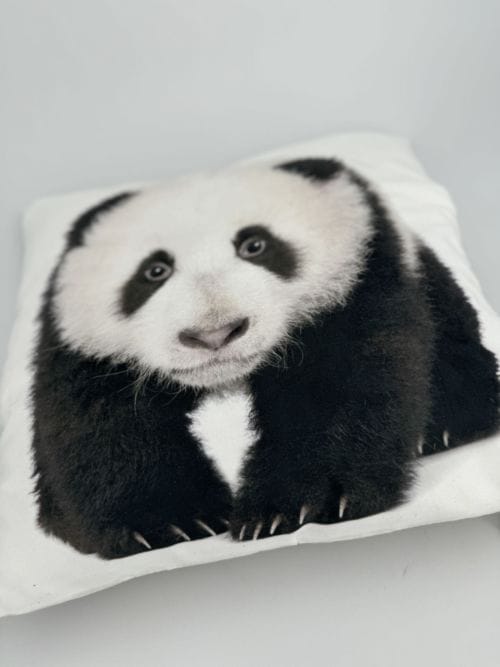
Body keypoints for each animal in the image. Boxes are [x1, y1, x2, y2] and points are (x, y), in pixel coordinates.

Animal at [31, 157, 500, 559]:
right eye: (154, 271)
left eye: (255, 245)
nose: (214, 334)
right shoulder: (87, 350)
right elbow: (102, 425)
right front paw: (168, 522)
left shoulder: (357, 281)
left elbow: (336, 389)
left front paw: (298, 505)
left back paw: (448, 426)